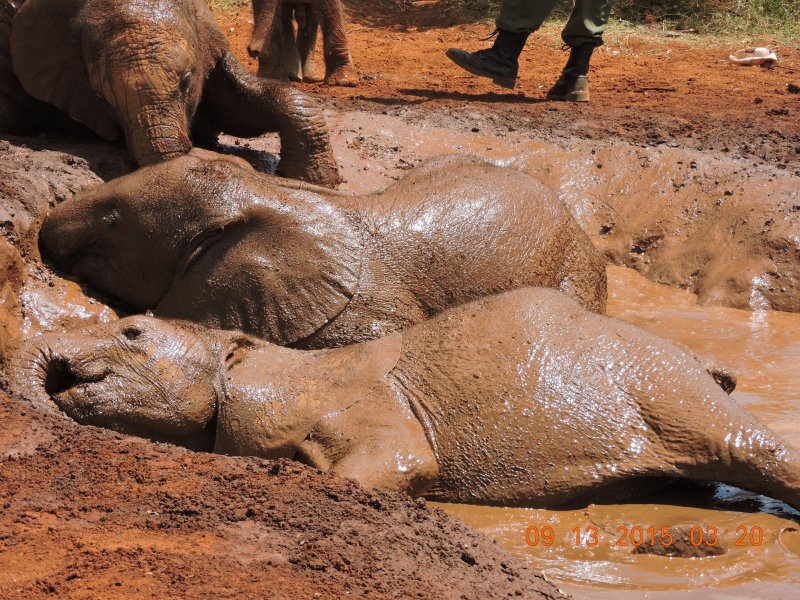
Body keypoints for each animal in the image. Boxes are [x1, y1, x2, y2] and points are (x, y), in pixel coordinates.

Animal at [11, 287, 800, 509]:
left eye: (132, 331)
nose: (57, 368)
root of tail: (703, 362)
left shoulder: (360, 398)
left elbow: (399, 464)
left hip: (662, 386)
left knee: (750, 446)